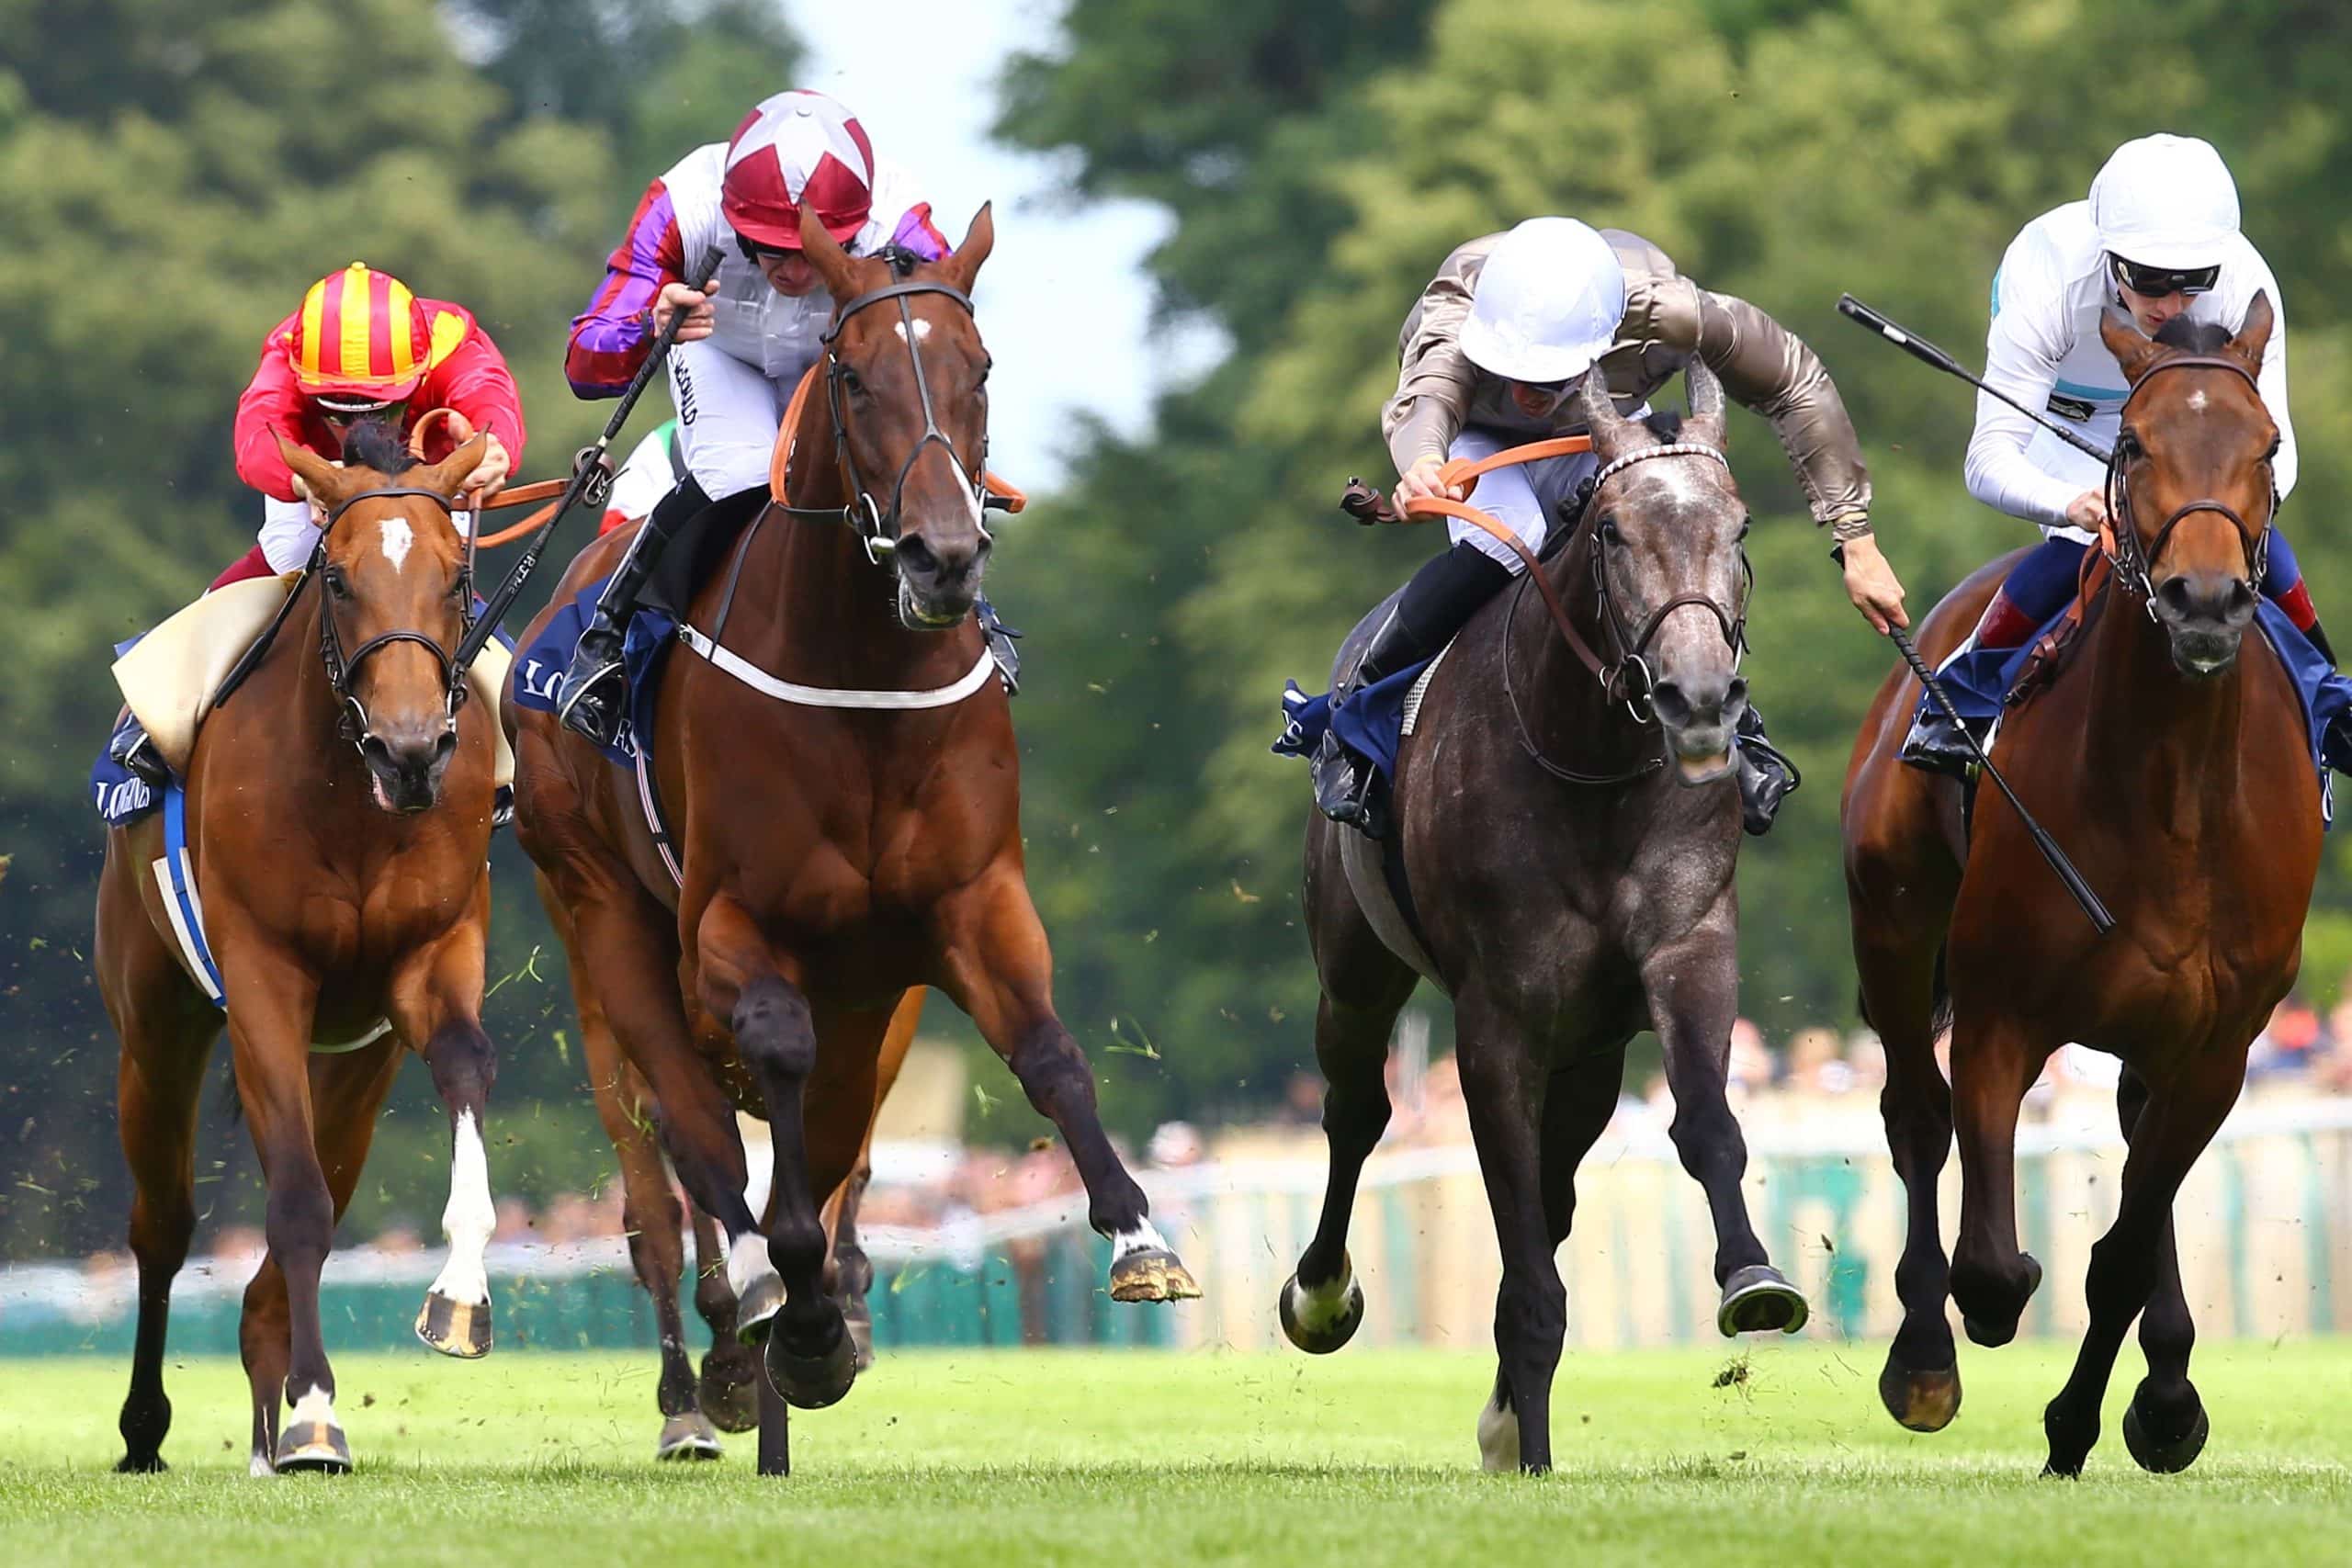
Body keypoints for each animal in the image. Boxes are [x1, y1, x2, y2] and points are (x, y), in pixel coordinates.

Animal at [99, 423, 510, 1476]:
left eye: (456, 576)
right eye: (339, 579)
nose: (412, 751)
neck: (353, 798)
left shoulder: (431, 959)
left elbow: (466, 1066)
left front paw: (460, 1298)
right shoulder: (263, 982)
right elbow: (294, 1204)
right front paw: (318, 1410)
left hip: (358, 1065)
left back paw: (262, 1425)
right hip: (154, 1027)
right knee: (163, 1227)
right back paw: (148, 1429)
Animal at [517, 205, 1204, 1448]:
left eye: (980, 367)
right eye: (852, 375)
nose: (943, 556)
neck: (863, 677)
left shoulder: (969, 903)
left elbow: (1047, 1053)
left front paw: (1139, 1237)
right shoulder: (730, 922)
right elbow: (765, 1076)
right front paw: (781, 1300)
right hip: (597, 919)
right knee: (671, 1152)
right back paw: (710, 1363)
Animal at [1279, 364, 1806, 1476]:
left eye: (1739, 526)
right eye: (1610, 532)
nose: (1698, 697)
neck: (1592, 763)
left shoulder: (1689, 950)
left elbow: (1705, 1124)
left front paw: (1752, 1279)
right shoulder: (1499, 1019)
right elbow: (1521, 1248)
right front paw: (1529, 1453)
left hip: (1590, 1053)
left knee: (1558, 1186)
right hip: (1354, 970)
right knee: (1356, 1111)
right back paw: (1320, 1295)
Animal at [1834, 300, 2314, 1476]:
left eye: (2266, 444)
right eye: (2133, 444)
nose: (2202, 602)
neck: (2175, 799)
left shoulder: (2220, 1043)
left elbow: (2124, 1252)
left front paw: (2118, 1418)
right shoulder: (2000, 1014)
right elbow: (1995, 1265)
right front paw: (1990, 1356)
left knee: (2140, 1152)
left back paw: (2170, 1382)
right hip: (1894, 926)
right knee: (1915, 1115)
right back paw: (1923, 1361)